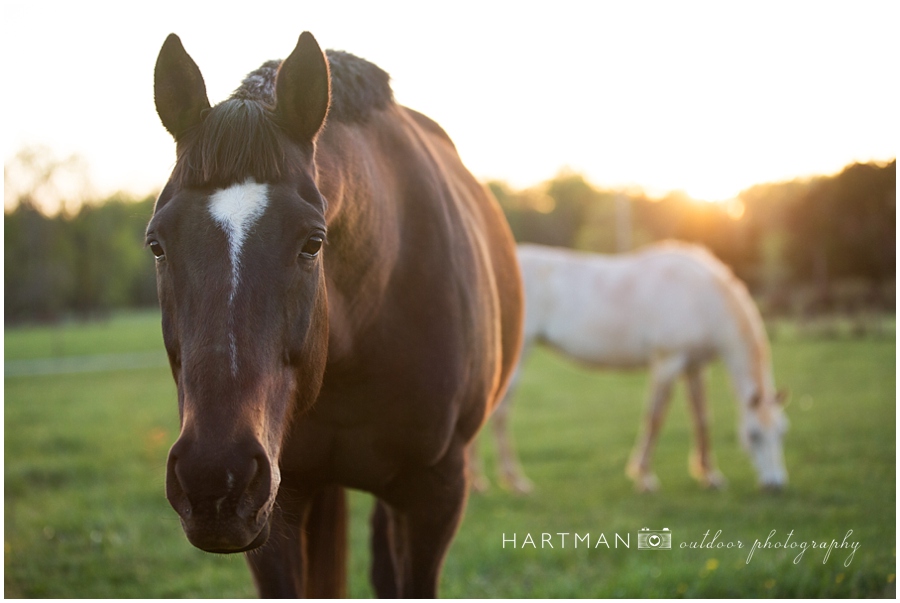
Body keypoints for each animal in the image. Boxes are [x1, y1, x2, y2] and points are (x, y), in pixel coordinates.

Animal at [478, 244, 788, 496]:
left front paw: (710, 477)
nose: (775, 485)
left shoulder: (694, 367)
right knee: (500, 413)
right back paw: (514, 482)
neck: (702, 298)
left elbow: (701, 419)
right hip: (519, 354)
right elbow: (654, 418)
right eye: (754, 435)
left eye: (782, 433)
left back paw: (483, 482)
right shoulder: (668, 361)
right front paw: (644, 478)